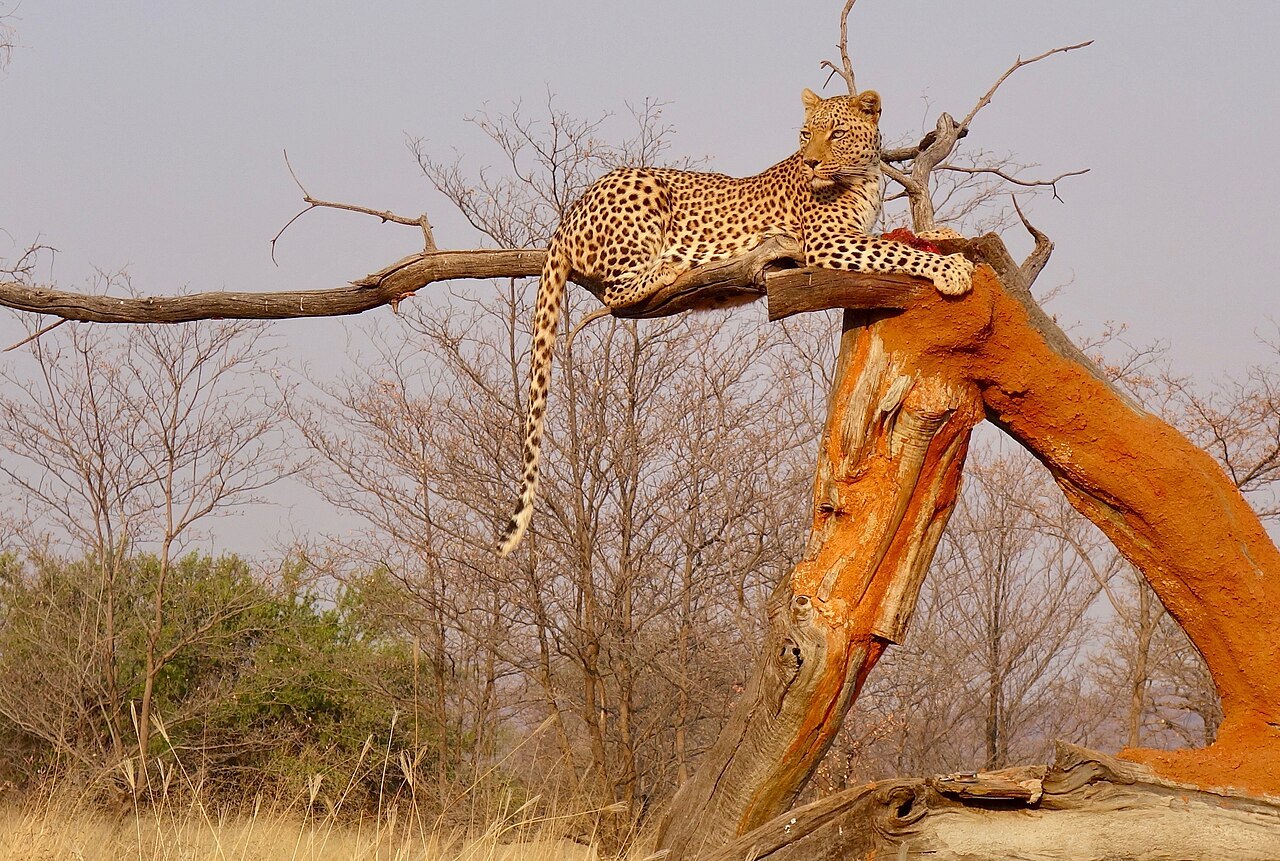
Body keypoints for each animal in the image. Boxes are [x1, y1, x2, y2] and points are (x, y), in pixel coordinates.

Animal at [497, 87, 974, 557]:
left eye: (836, 134)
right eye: (807, 134)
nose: (812, 162)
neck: (864, 176)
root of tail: (565, 219)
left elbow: (900, 238)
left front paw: (944, 235)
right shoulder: (829, 242)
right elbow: (894, 251)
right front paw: (951, 270)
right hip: (643, 193)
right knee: (618, 288)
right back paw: (671, 264)